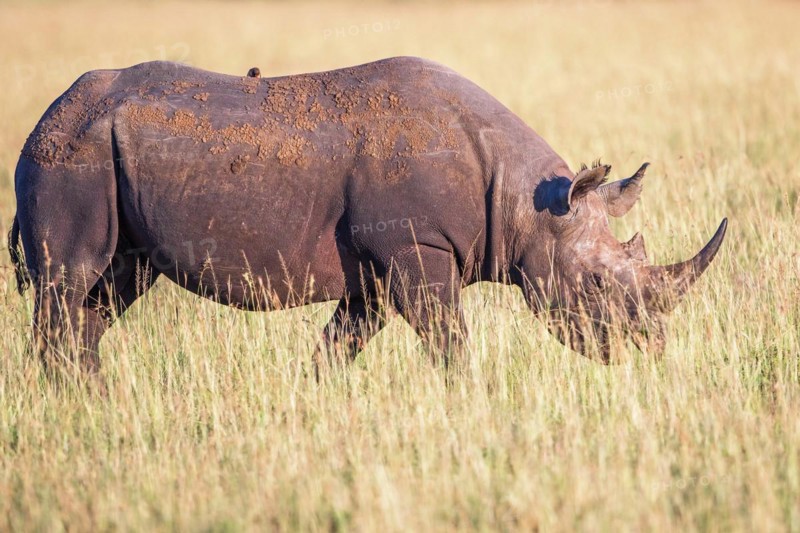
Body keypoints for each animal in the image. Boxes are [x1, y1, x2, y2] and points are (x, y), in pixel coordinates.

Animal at [8, 56, 727, 376]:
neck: (530, 202)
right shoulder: (418, 247)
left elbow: (341, 343)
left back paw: (94, 397)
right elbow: (449, 339)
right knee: (69, 280)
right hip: (71, 154)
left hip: (97, 154)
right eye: (599, 285)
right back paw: (71, 404)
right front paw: (467, 398)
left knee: (109, 289)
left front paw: (313, 396)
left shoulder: (381, 266)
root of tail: (49, 113)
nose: (650, 349)